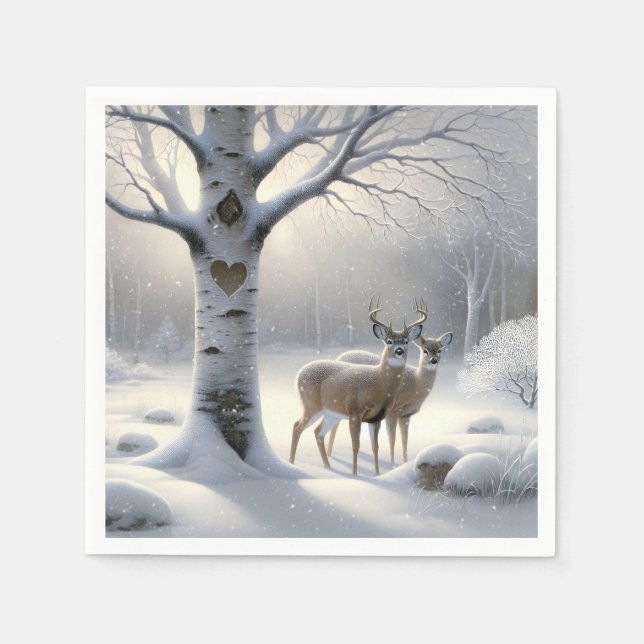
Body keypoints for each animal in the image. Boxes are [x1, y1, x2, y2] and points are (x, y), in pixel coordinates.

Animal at [290, 299, 427, 475]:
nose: (399, 351)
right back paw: (292, 464)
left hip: (331, 412)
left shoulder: (376, 417)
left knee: (318, 432)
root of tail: (299, 374)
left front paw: (377, 474)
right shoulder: (355, 411)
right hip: (312, 404)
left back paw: (328, 468)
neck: (378, 385)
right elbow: (356, 446)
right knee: (297, 427)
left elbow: (375, 447)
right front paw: (355, 475)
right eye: (388, 341)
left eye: (406, 341)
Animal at [327, 299, 452, 466]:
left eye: (439, 350)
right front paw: (393, 464)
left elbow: (404, 440)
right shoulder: (393, 411)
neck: (415, 385)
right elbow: (392, 439)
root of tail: (339, 357)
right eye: (424, 351)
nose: (433, 361)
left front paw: (405, 462)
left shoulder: (406, 415)